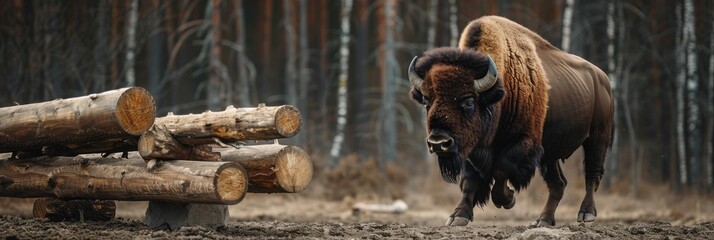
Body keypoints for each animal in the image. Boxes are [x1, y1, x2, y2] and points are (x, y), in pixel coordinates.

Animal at [406, 15, 612, 226]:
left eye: (469, 101)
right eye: (427, 101)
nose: (438, 142)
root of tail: (602, 78)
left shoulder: (523, 143)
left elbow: (501, 170)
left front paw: (508, 198)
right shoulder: (472, 147)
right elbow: (469, 181)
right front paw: (458, 216)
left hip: (598, 138)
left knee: (592, 174)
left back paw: (586, 214)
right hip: (551, 153)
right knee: (558, 183)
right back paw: (543, 220)